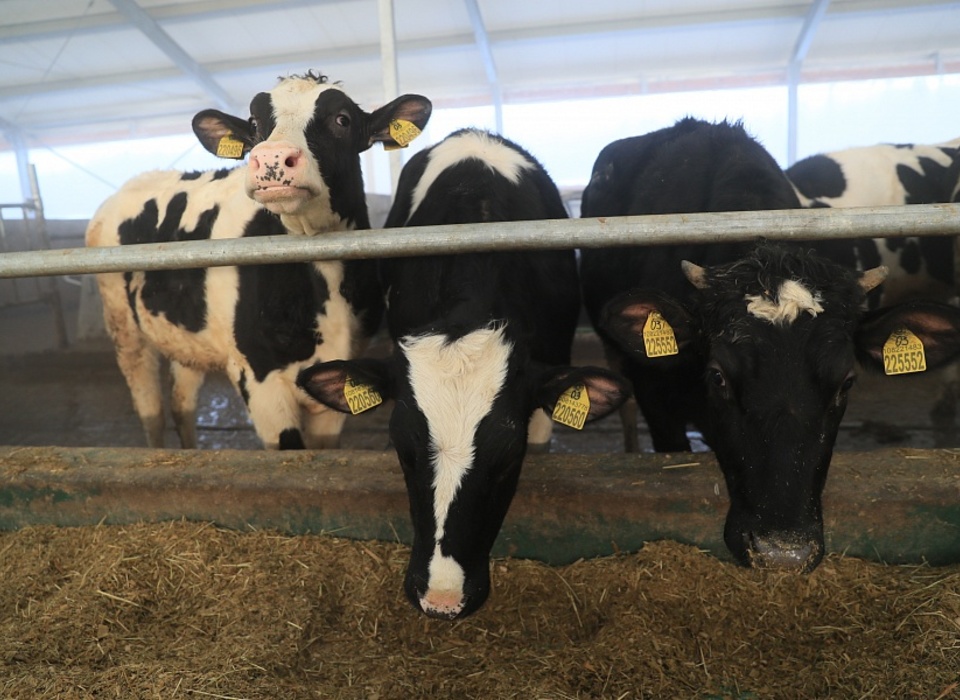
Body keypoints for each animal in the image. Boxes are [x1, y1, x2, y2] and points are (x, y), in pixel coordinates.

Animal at [86, 72, 432, 448]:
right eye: (254, 123)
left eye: (342, 119)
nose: (272, 157)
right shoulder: (258, 379)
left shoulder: (336, 383)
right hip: (123, 327)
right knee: (151, 410)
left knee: (182, 403)